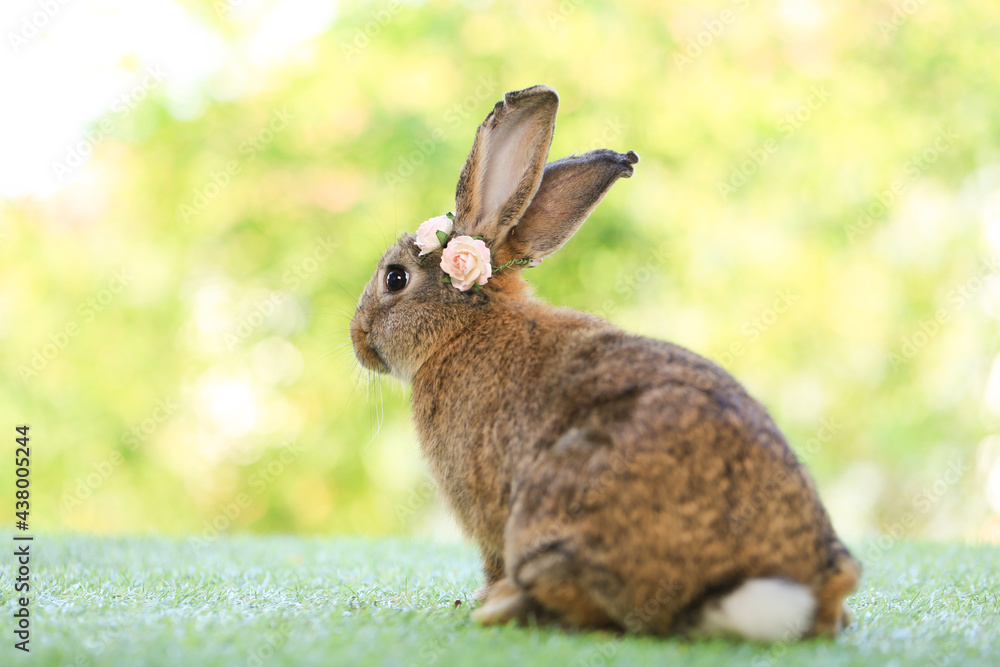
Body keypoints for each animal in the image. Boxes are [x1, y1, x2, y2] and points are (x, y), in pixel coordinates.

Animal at [350, 85, 860, 641]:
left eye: (395, 279)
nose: (356, 340)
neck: (463, 327)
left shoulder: (484, 505)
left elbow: (490, 558)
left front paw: (482, 596)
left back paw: (500, 607)